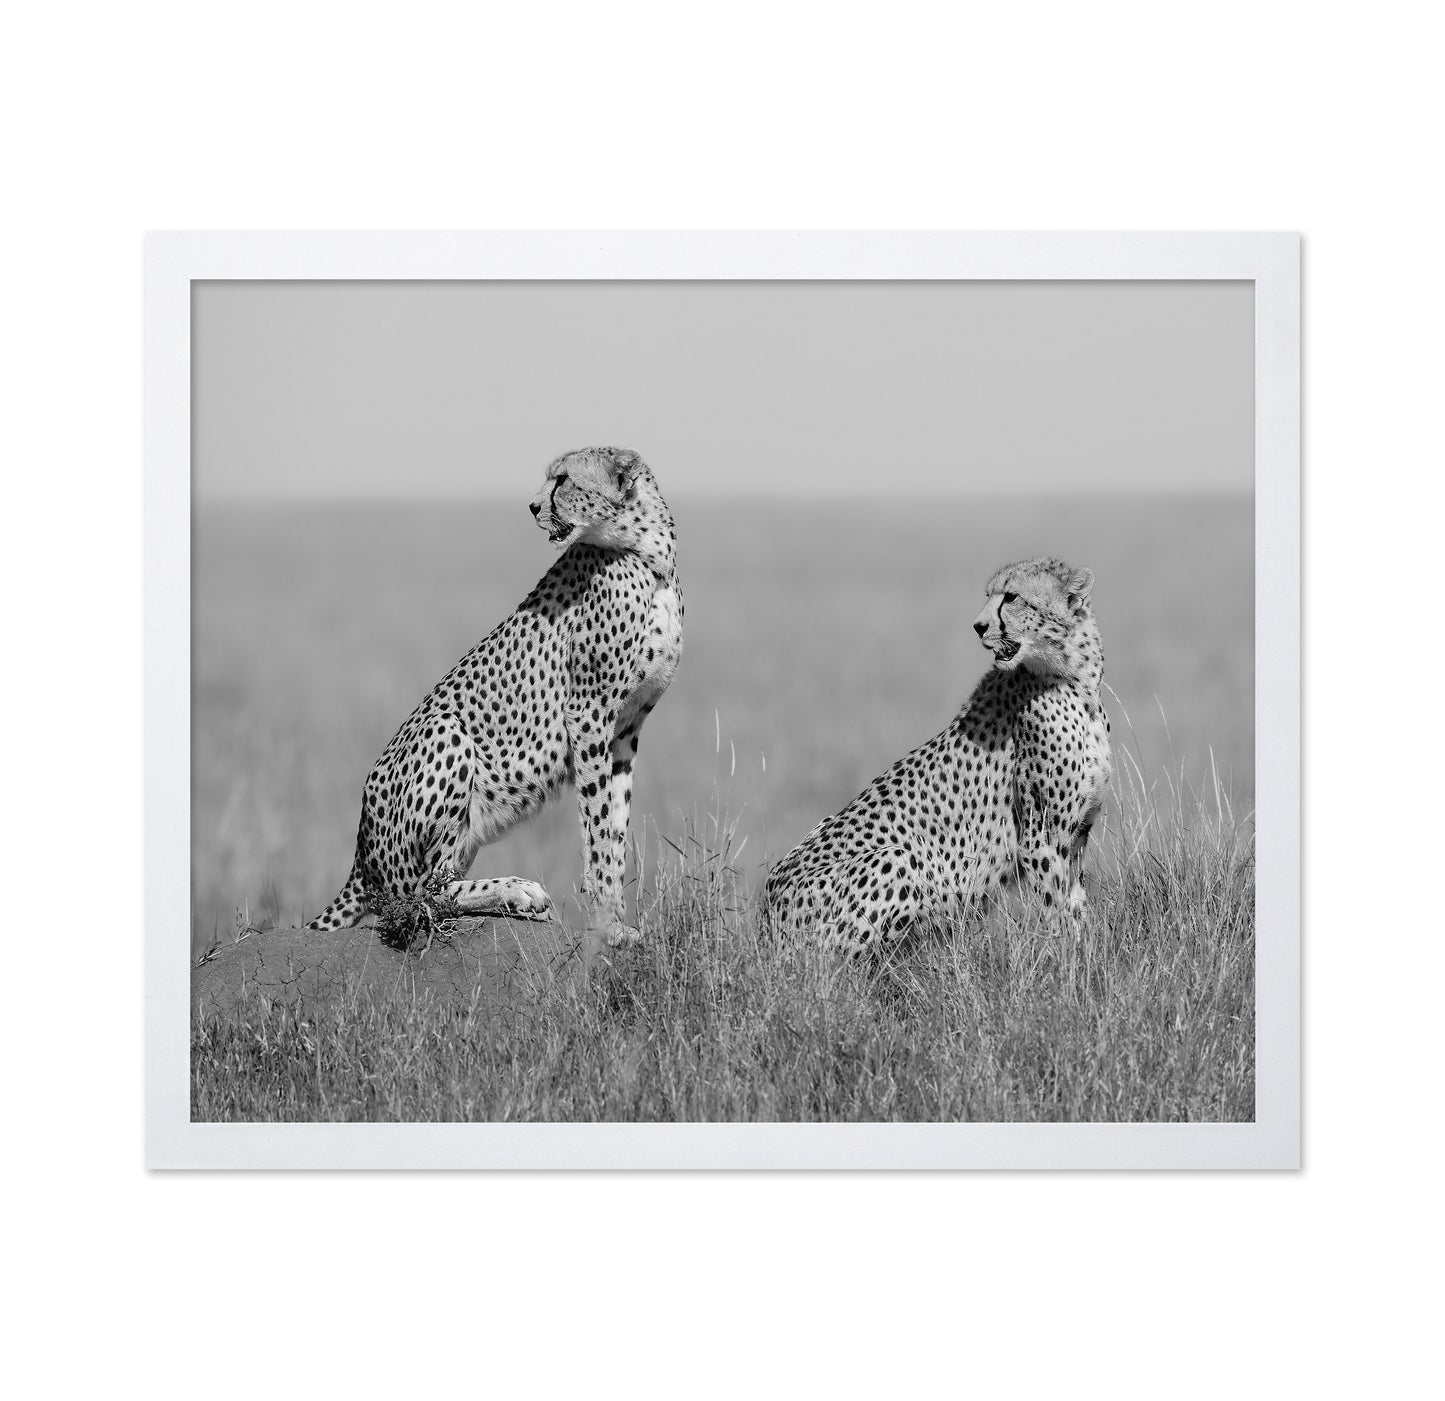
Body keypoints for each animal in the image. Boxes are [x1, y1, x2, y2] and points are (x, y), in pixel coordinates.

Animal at [306, 447, 683, 967]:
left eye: (563, 479)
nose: (531, 506)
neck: (648, 552)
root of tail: (360, 853)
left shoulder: (626, 729)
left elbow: (614, 827)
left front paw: (618, 921)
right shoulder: (588, 713)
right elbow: (597, 827)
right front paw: (608, 925)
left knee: (433, 885)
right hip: (446, 731)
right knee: (419, 894)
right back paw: (518, 891)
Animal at [762, 556, 1111, 955]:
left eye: (1011, 597)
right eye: (989, 595)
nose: (978, 626)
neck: (1076, 678)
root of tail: (766, 917)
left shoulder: (1077, 834)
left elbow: (1076, 905)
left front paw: (1085, 955)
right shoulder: (1042, 839)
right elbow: (1057, 911)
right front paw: (1066, 959)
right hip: (894, 860)